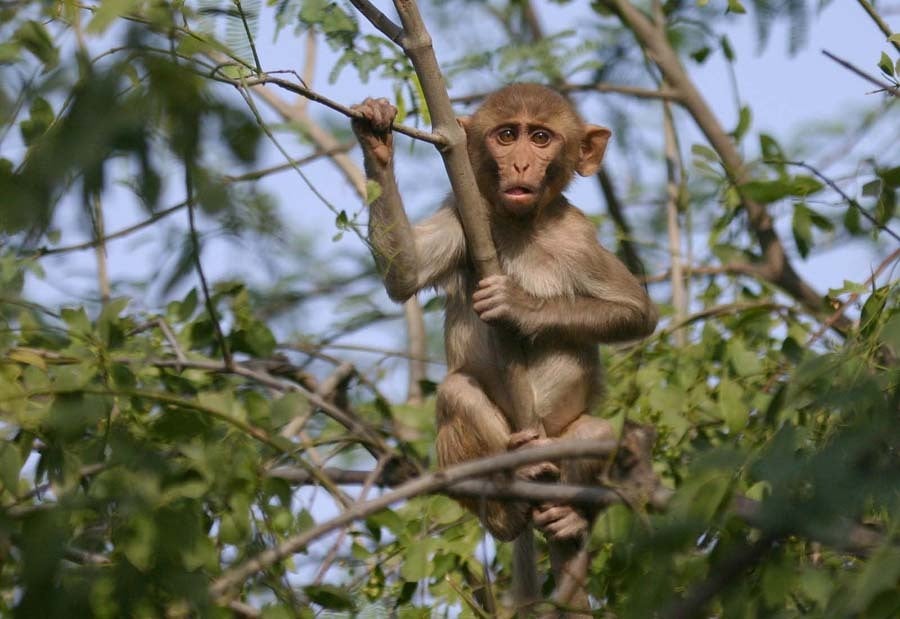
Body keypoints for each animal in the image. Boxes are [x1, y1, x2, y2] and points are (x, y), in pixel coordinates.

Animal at [352, 83, 658, 615]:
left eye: (541, 137)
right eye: (507, 135)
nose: (520, 165)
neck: (520, 223)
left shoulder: (577, 236)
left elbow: (636, 312)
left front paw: (518, 307)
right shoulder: (461, 214)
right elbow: (405, 273)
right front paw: (376, 136)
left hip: (565, 436)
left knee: (599, 432)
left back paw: (571, 516)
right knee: (457, 391)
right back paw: (510, 496)